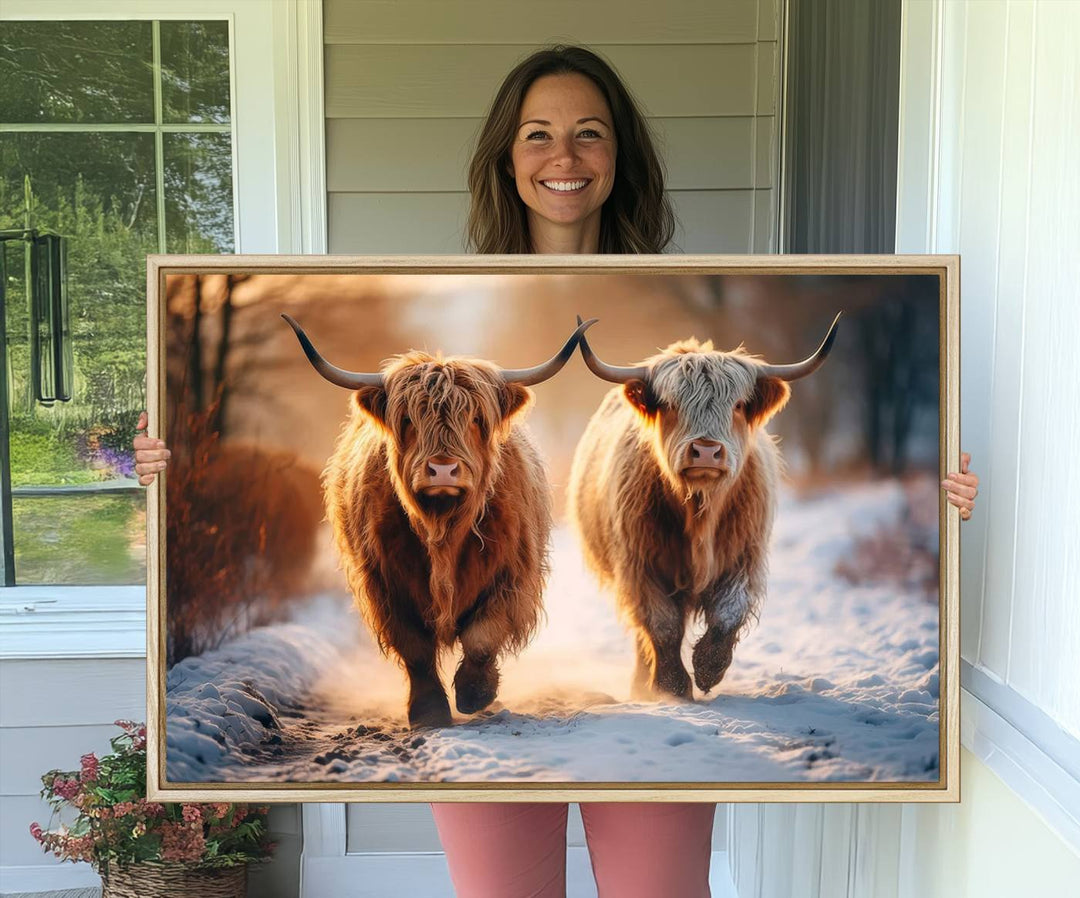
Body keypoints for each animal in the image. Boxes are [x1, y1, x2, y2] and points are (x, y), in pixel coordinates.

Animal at [282, 315, 596, 730]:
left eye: (476, 418)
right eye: (408, 419)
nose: (443, 469)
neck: (443, 527)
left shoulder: (511, 574)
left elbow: (482, 636)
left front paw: (475, 693)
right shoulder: (386, 584)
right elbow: (414, 647)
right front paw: (429, 712)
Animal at [570, 313, 838, 700]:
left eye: (738, 405)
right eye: (670, 405)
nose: (707, 451)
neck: (700, 508)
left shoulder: (744, 555)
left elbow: (728, 613)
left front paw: (709, 669)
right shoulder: (640, 564)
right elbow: (662, 624)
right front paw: (672, 685)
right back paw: (642, 685)